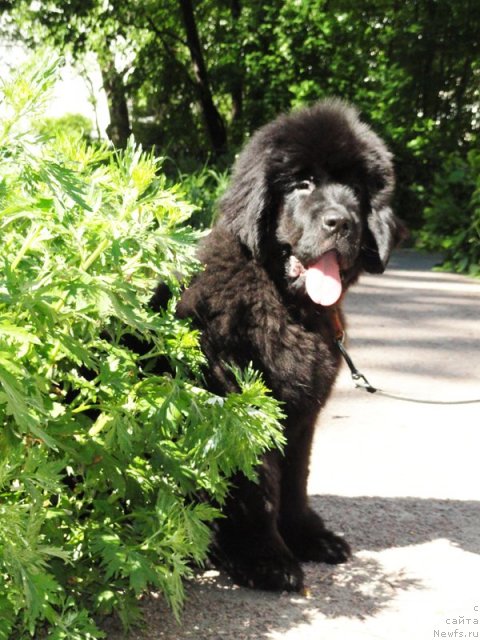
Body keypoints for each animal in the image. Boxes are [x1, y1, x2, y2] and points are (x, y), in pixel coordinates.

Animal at [174, 97, 404, 592]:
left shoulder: (301, 419)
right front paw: (268, 561)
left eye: (356, 189)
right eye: (302, 184)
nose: (341, 222)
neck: (285, 303)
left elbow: (296, 480)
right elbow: (256, 489)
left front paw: (310, 538)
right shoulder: (240, 410)